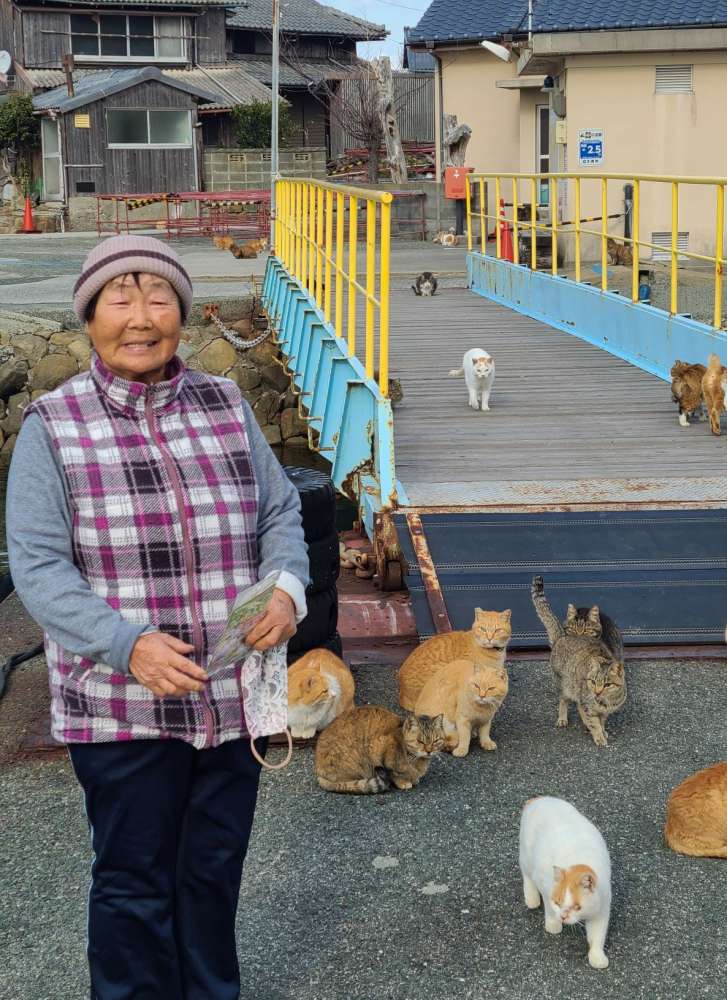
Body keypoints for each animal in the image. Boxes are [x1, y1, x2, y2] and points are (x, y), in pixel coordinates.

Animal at [316, 708, 446, 792]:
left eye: (435, 741)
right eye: (420, 741)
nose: (429, 751)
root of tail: (319, 774)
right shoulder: (378, 748)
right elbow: (395, 773)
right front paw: (404, 782)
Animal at [520, 796, 612, 968]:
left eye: (577, 907)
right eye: (558, 902)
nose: (563, 917)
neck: (579, 861)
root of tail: (539, 798)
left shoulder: (602, 908)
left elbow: (598, 935)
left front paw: (597, 957)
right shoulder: (545, 885)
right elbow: (550, 910)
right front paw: (554, 924)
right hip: (527, 857)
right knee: (526, 874)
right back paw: (532, 899)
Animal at [532, 576, 628, 748]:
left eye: (607, 684)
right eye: (593, 681)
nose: (597, 692)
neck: (604, 702)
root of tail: (562, 636)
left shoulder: (604, 711)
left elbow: (601, 721)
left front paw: (603, 730)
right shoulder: (587, 704)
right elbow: (593, 722)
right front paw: (599, 736)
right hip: (564, 683)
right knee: (564, 700)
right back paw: (563, 718)